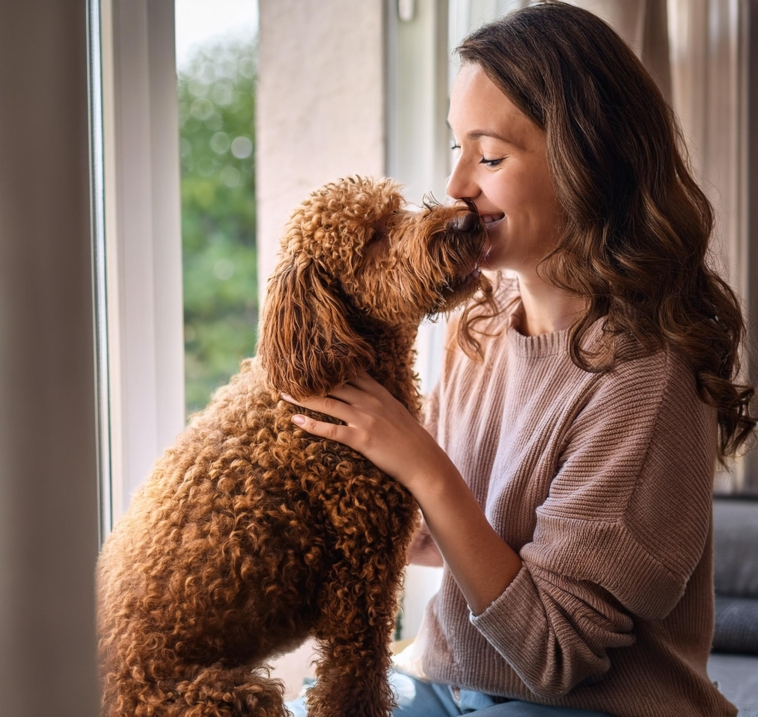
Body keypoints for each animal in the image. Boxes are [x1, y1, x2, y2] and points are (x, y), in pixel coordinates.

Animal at [98, 175, 486, 716]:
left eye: (398, 208)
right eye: (373, 239)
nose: (468, 219)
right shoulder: (360, 577)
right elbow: (354, 682)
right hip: (230, 695)